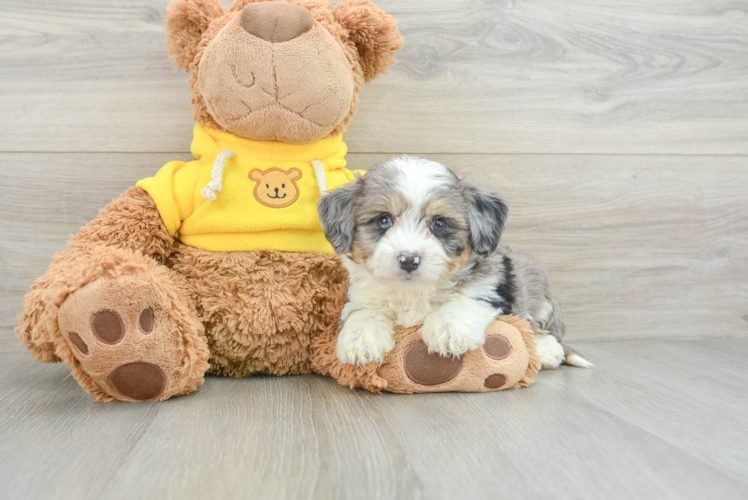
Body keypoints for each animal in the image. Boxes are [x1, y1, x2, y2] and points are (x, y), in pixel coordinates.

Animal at [316, 156, 592, 372]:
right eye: (384, 220)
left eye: (439, 223)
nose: (409, 260)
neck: (413, 291)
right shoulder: (364, 296)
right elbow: (364, 312)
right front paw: (360, 339)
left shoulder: (493, 287)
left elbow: (465, 301)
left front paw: (448, 330)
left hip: (542, 303)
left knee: (544, 330)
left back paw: (546, 352)